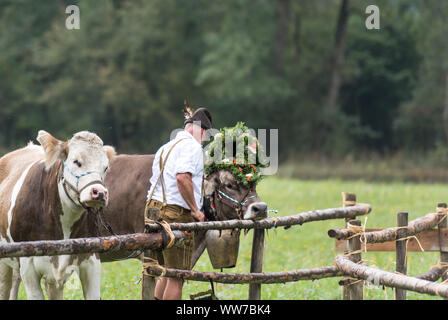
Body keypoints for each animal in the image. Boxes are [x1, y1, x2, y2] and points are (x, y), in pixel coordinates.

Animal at [0, 130, 114, 300]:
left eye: (105, 167)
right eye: (76, 161)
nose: (99, 193)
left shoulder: (92, 260)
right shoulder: (28, 265)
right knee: (5, 287)